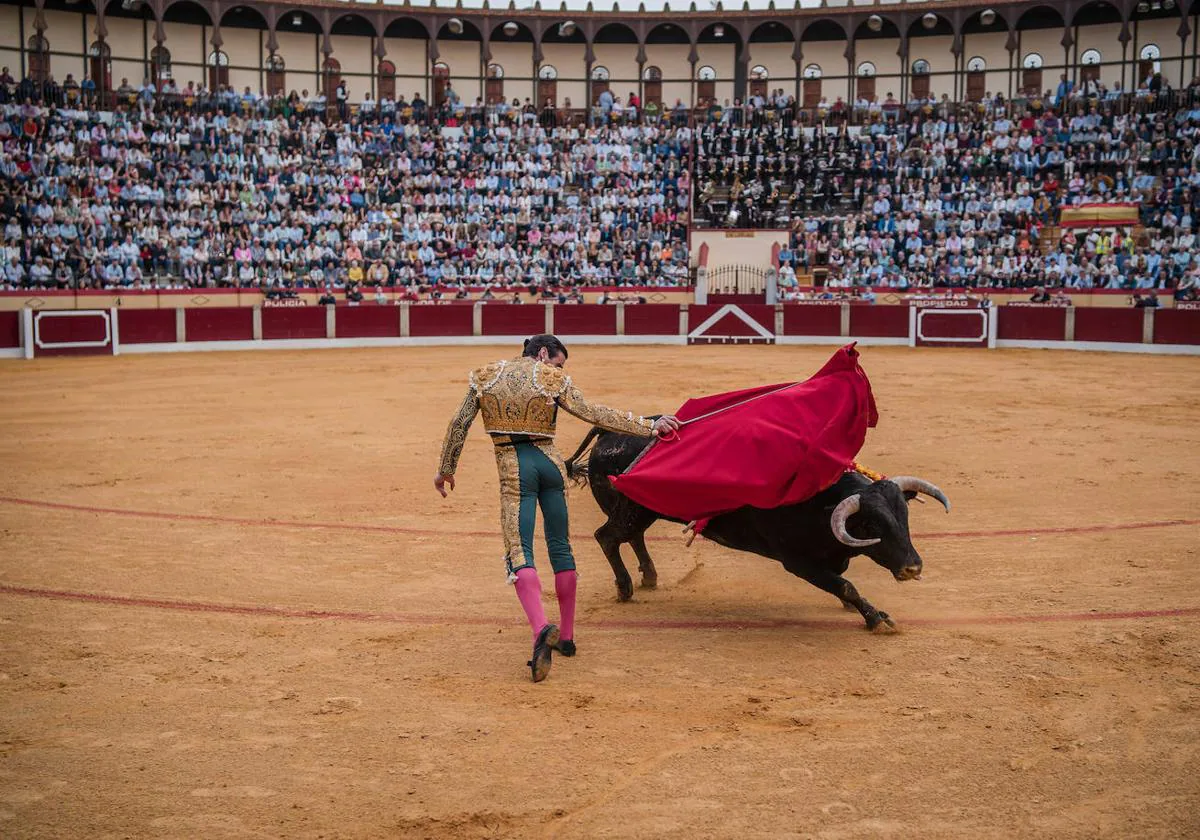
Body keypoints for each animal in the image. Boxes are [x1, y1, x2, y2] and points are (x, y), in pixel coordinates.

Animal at [566, 427, 950, 628]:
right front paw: (876, 618)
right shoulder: (797, 562)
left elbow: (843, 582)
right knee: (607, 537)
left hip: (639, 511)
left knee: (632, 536)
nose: (913, 567)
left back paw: (649, 576)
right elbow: (846, 586)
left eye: (904, 516)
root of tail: (609, 433)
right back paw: (626, 588)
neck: (819, 499)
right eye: (870, 523)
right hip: (630, 511)